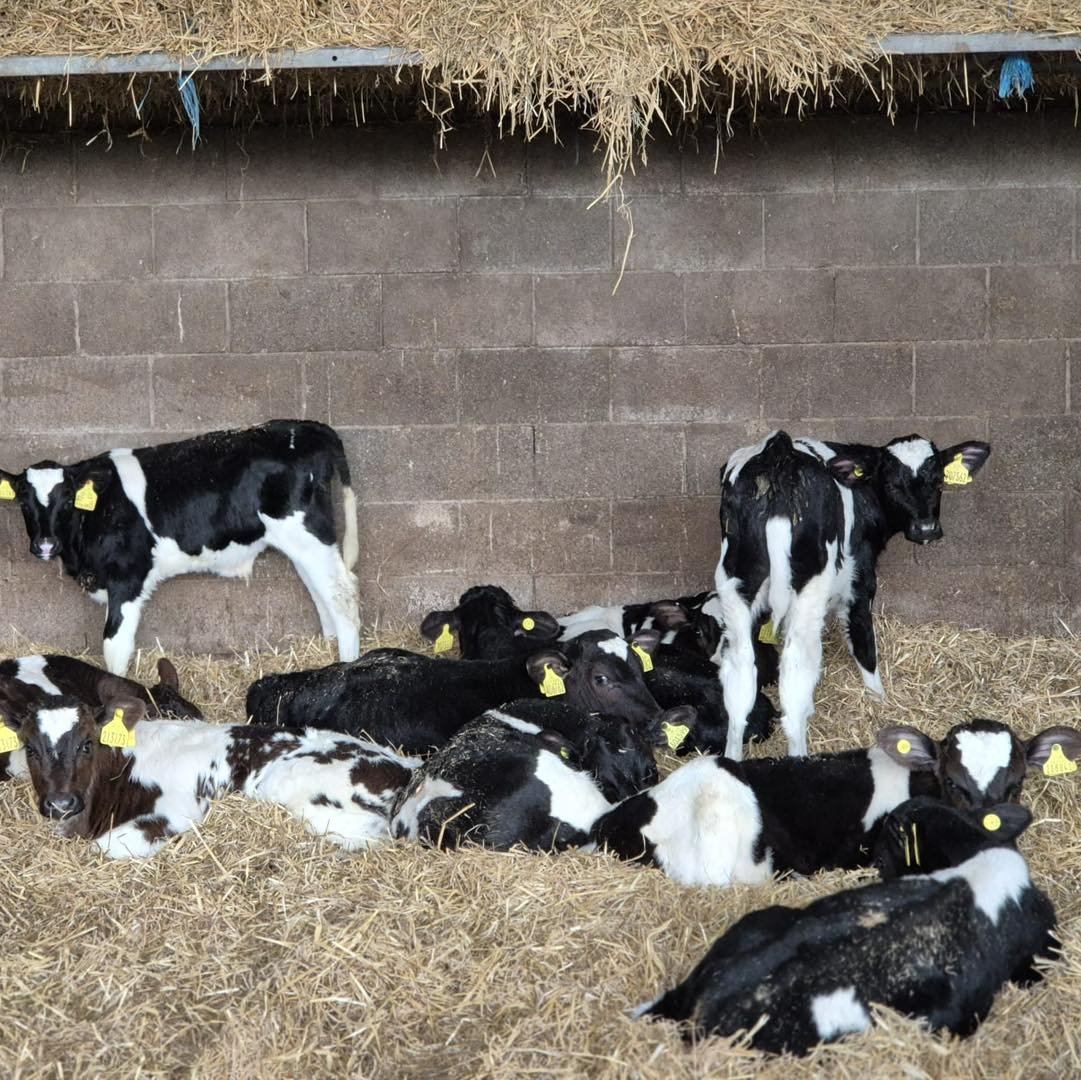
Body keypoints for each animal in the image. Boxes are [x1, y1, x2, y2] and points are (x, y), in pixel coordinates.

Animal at [0, 420, 360, 675]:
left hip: (307, 533)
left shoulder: (127, 578)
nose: (45, 544)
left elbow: (115, 646)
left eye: (66, 501)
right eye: (24, 503)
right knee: (320, 593)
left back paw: (346, 665)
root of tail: (308, 427)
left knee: (341, 594)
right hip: (302, 544)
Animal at [6, 693, 420, 858]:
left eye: (87, 744)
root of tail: (406, 770)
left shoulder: (177, 808)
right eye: (31, 749)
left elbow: (105, 847)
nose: (60, 803)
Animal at [713, 431, 991, 759]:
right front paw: (879, 700)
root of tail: (778, 454)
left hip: (736, 582)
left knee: (739, 674)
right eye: (892, 484)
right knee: (796, 674)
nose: (926, 529)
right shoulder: (860, 585)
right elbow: (864, 646)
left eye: (937, 482)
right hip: (809, 592)